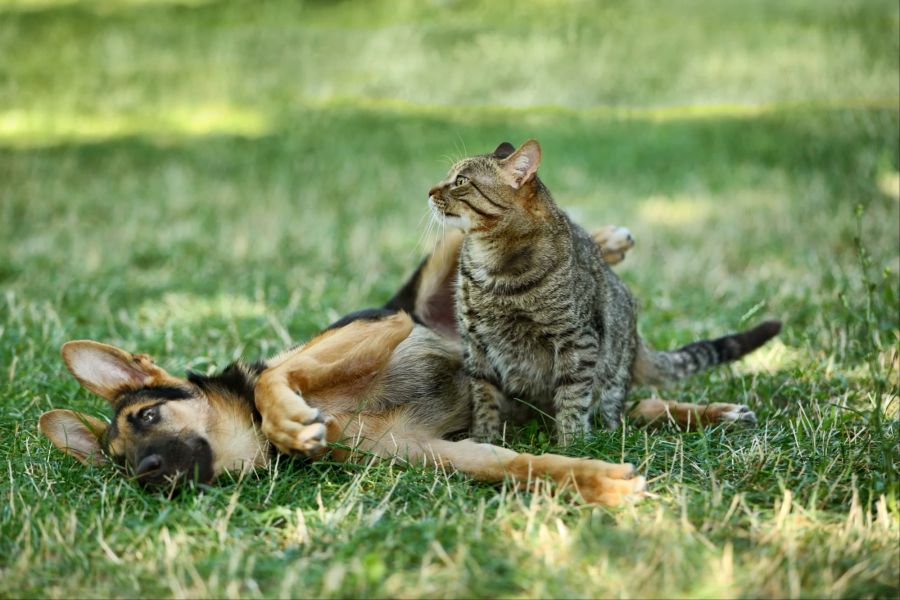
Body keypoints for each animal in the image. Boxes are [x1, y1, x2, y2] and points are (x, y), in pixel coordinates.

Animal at [40, 225, 760, 506]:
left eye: (147, 416)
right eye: (119, 464)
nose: (147, 475)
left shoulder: (378, 327)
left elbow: (275, 377)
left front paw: (287, 420)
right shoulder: (439, 452)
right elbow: (524, 466)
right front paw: (599, 484)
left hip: (424, 291)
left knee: (477, 232)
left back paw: (604, 241)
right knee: (634, 403)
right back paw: (711, 411)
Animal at [428, 138, 780, 442]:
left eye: (460, 181)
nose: (429, 190)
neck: (492, 268)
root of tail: (636, 339)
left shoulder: (575, 340)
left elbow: (572, 397)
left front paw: (572, 447)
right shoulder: (476, 344)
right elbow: (484, 399)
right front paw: (483, 440)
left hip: (609, 380)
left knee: (621, 411)